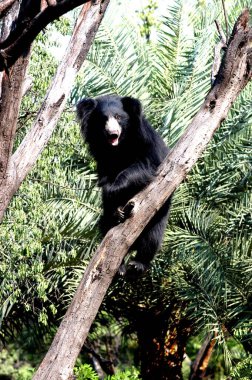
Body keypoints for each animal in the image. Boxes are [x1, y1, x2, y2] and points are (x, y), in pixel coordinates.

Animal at [77, 94, 171, 274]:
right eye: (103, 119)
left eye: (118, 117)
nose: (112, 132)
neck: (119, 147)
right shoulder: (102, 157)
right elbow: (106, 180)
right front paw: (116, 209)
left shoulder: (146, 145)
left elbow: (142, 167)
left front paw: (112, 190)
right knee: (107, 229)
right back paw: (119, 266)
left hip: (159, 213)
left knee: (153, 237)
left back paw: (138, 264)